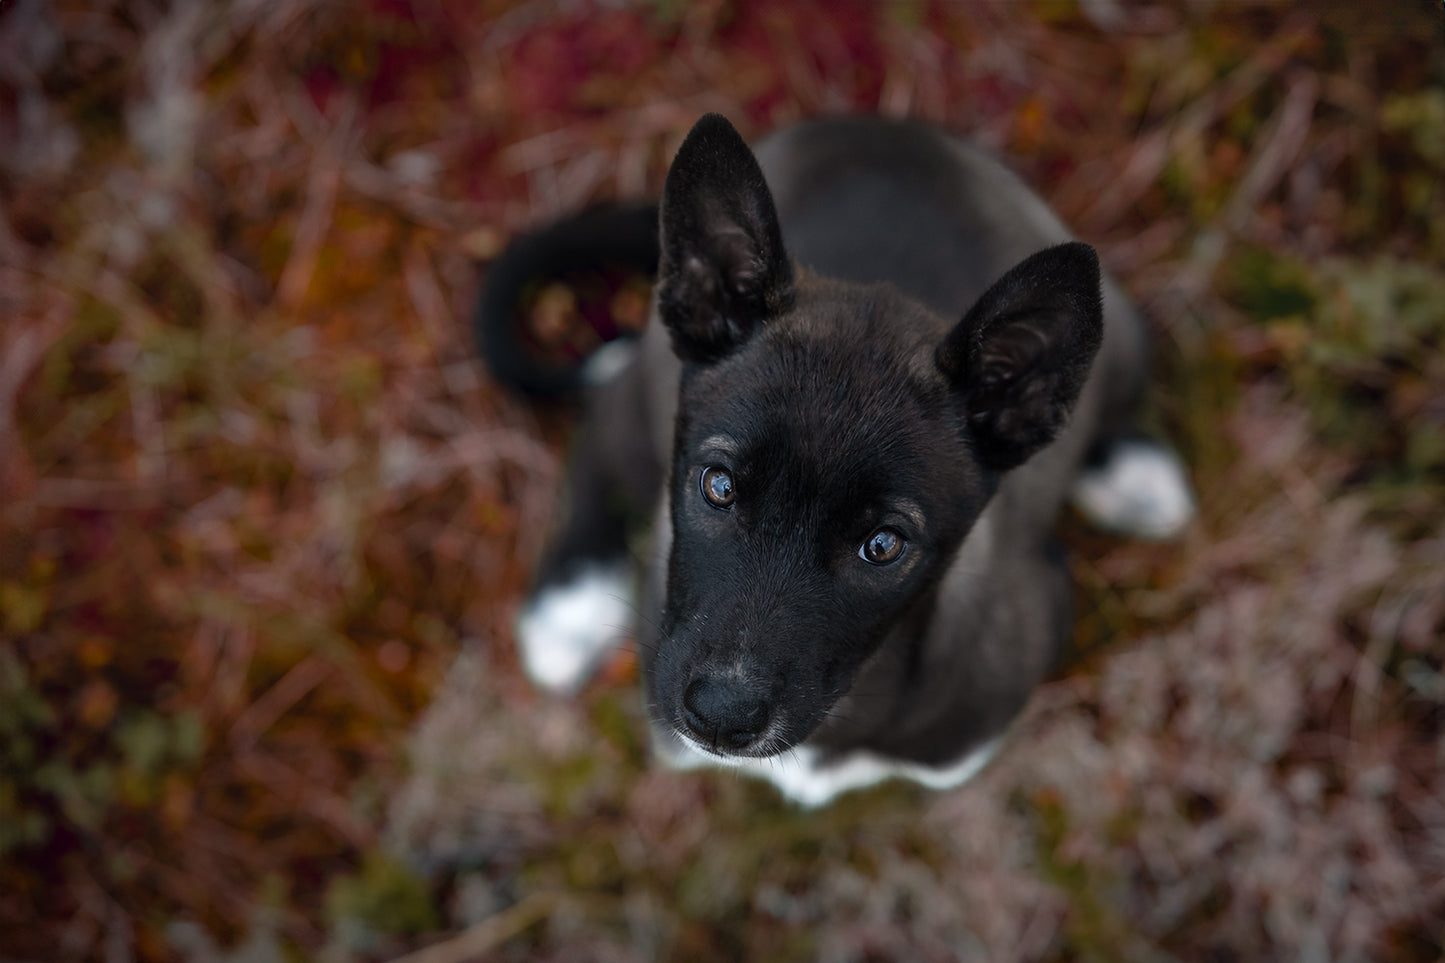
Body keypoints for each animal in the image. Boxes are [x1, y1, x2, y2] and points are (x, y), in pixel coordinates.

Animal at [479, 114, 1190, 803]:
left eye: (883, 545)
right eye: (718, 486)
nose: (720, 718)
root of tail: (876, 124)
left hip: (1122, 336)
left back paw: (1132, 474)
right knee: (604, 425)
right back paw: (567, 609)